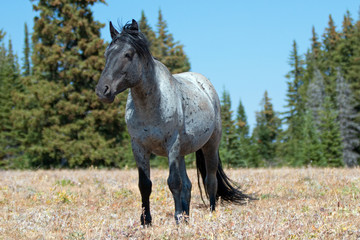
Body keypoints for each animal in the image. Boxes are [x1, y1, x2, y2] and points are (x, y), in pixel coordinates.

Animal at [95, 19, 253, 225]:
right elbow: (145, 184)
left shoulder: (172, 145)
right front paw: (146, 220)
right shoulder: (138, 147)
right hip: (182, 153)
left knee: (210, 181)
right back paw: (187, 217)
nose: (102, 90)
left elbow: (173, 182)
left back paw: (211, 214)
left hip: (210, 145)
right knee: (188, 184)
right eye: (107, 54)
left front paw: (177, 217)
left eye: (128, 54)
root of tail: (205, 84)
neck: (152, 106)